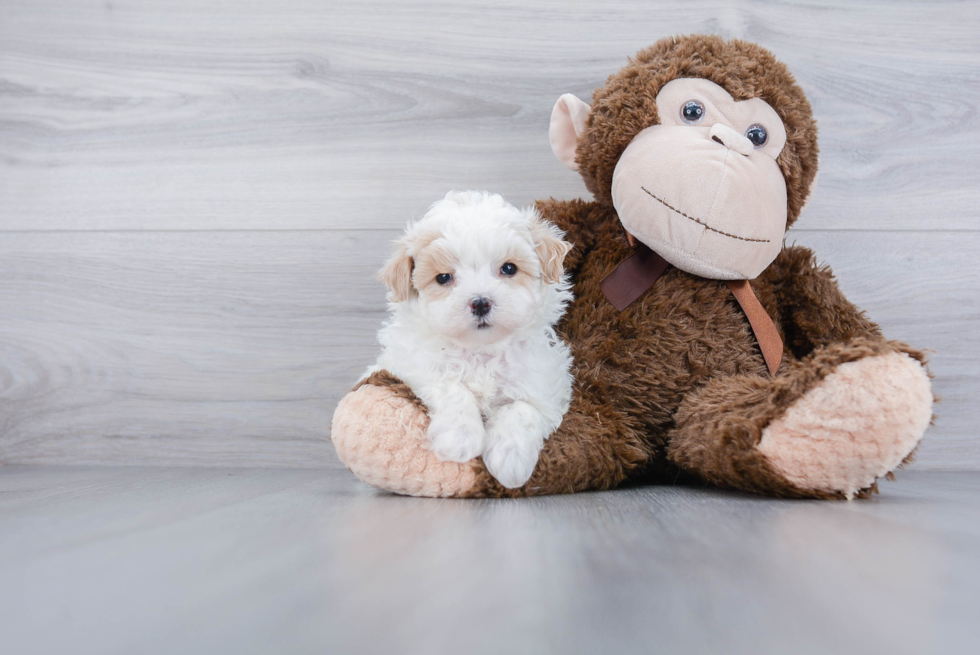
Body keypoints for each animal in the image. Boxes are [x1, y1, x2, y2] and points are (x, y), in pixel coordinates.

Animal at [372, 190, 580, 486]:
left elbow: (522, 409)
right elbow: (451, 386)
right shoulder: (413, 365)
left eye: (509, 268)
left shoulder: (545, 385)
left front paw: (510, 460)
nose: (480, 302)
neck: (481, 351)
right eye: (443, 277)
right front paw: (459, 439)